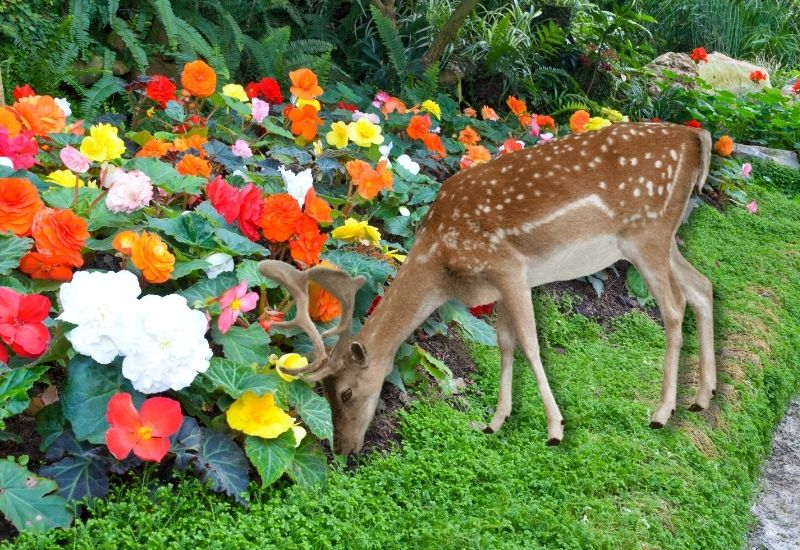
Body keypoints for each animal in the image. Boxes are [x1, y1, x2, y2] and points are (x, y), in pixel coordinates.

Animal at [260, 123, 716, 454]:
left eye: (348, 393)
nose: (343, 450)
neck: (441, 265)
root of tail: (697, 137)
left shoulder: (507, 265)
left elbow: (531, 344)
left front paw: (555, 428)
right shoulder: (498, 285)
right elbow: (505, 344)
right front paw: (496, 421)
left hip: (646, 233)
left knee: (674, 306)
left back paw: (661, 412)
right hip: (665, 238)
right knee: (704, 287)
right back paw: (703, 397)